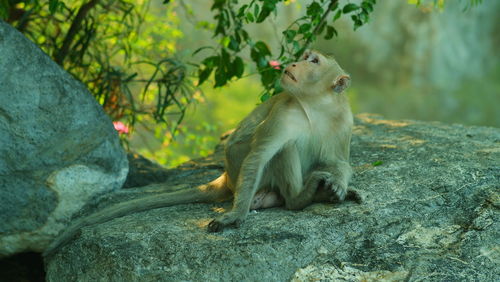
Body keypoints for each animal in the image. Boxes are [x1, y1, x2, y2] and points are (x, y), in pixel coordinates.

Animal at [42, 50, 356, 258]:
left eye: (313, 61)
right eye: (305, 56)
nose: (293, 63)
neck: (315, 105)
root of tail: (226, 177)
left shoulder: (344, 120)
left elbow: (338, 161)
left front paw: (339, 187)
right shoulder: (284, 112)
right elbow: (259, 156)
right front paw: (236, 215)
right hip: (240, 170)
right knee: (283, 148)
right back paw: (298, 198)